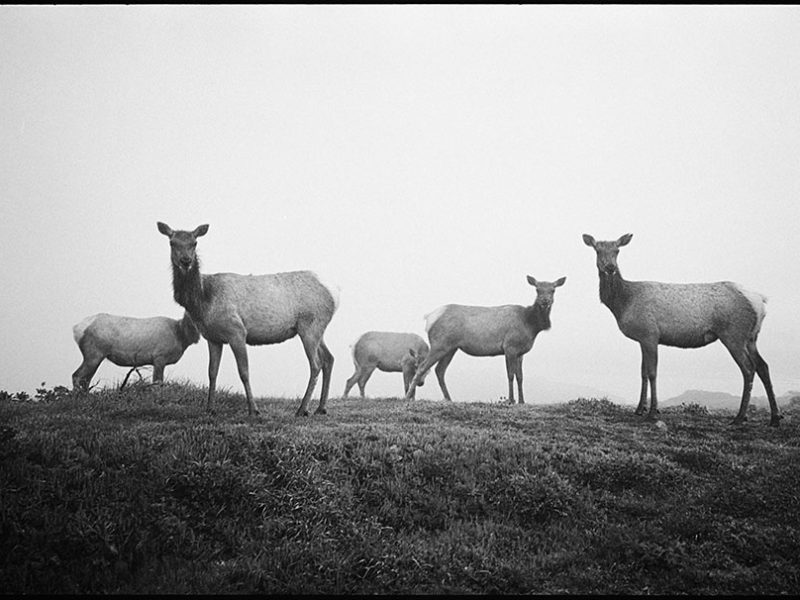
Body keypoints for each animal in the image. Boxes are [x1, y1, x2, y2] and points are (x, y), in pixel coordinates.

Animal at [157, 222, 339, 417]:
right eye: (172, 242)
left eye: (194, 242)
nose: (186, 261)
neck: (203, 301)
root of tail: (334, 296)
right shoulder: (213, 338)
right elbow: (212, 372)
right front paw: (210, 408)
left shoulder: (237, 331)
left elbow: (244, 372)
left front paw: (254, 410)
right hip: (317, 328)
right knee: (329, 358)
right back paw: (321, 407)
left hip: (309, 326)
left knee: (316, 364)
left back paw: (302, 409)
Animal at [404, 276, 566, 404]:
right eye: (537, 289)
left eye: (553, 290)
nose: (545, 301)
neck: (531, 326)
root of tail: (429, 318)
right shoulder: (510, 347)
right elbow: (510, 375)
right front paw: (511, 400)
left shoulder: (521, 352)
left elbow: (520, 377)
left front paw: (522, 401)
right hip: (439, 344)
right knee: (422, 367)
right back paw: (407, 397)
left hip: (451, 348)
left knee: (439, 370)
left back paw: (449, 398)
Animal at [582, 233, 780, 426]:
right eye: (597, 250)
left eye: (617, 250)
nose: (610, 267)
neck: (622, 303)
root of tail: (761, 302)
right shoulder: (642, 339)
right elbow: (643, 372)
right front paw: (639, 409)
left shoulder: (650, 334)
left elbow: (652, 373)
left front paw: (652, 412)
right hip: (751, 337)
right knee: (763, 366)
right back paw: (775, 418)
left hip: (734, 334)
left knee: (749, 368)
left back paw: (740, 417)